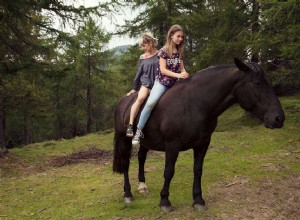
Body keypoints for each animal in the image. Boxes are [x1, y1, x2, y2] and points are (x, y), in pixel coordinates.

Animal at [112, 57, 284, 212]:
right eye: (258, 83)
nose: (279, 118)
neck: (195, 103)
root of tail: (123, 101)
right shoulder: (172, 145)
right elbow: (169, 172)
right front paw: (165, 202)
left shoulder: (203, 143)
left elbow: (198, 170)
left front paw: (198, 200)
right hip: (124, 140)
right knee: (126, 164)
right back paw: (128, 194)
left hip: (146, 142)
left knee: (141, 158)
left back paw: (142, 186)